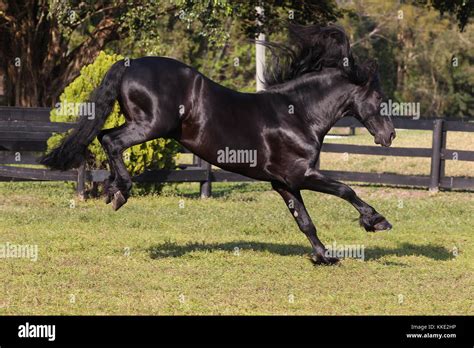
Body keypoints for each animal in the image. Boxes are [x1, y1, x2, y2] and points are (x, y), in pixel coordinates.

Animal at [41, 23, 396, 264]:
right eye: (379, 98)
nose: (389, 135)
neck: (298, 114)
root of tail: (129, 64)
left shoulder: (284, 183)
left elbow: (305, 222)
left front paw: (325, 256)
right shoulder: (301, 175)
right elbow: (346, 190)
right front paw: (377, 221)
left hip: (141, 123)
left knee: (103, 136)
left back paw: (111, 189)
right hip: (151, 125)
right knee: (112, 140)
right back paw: (121, 192)